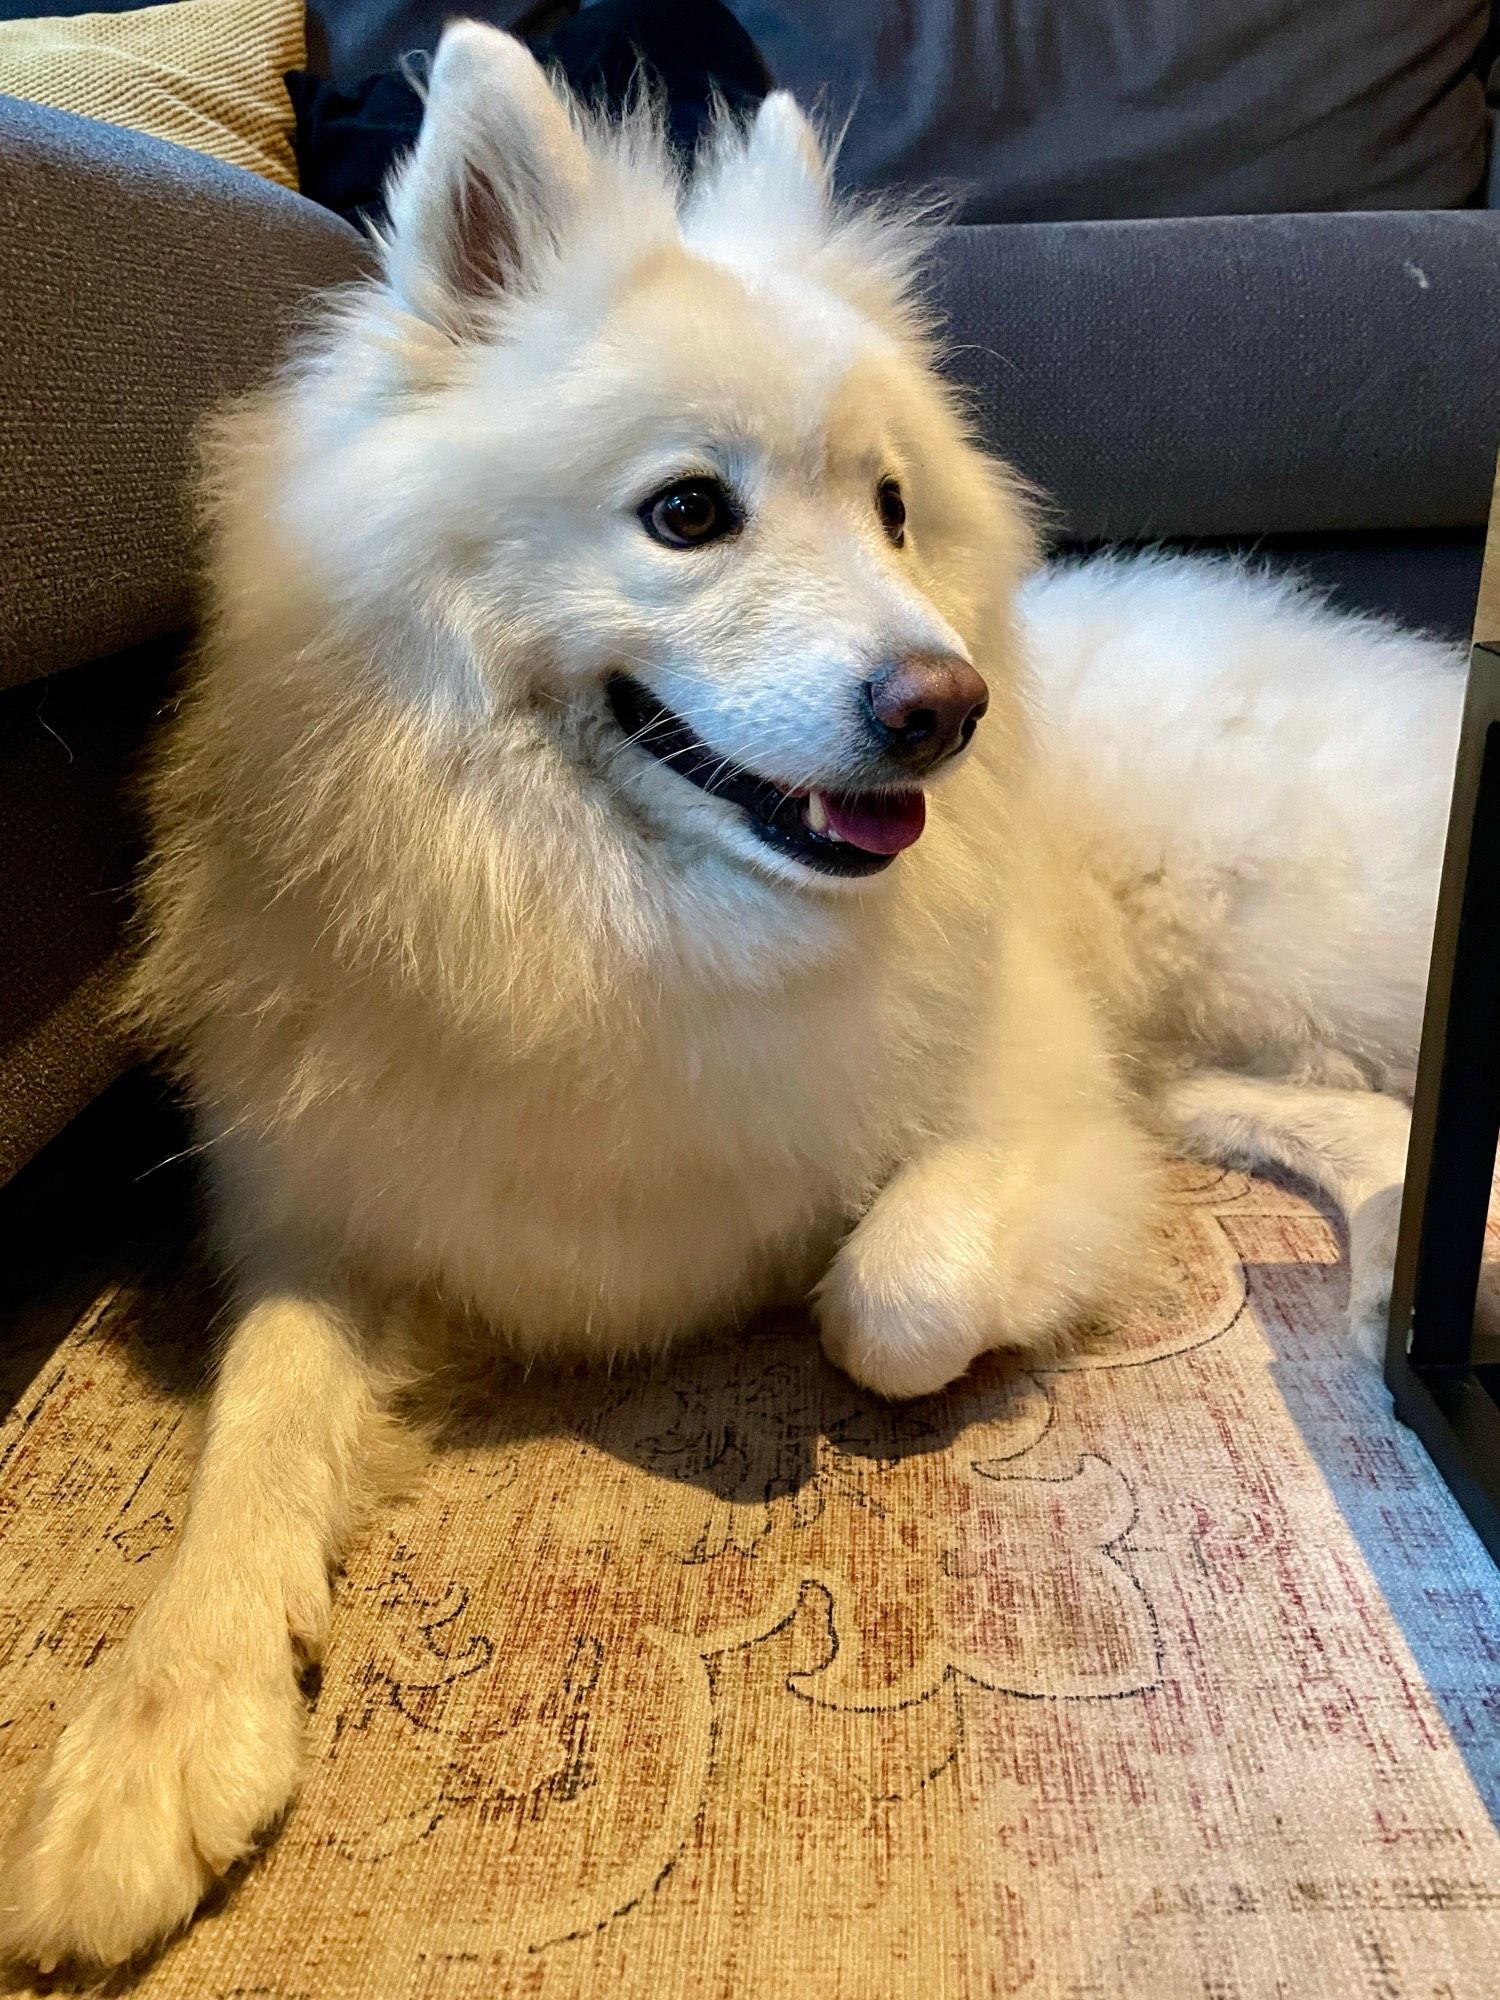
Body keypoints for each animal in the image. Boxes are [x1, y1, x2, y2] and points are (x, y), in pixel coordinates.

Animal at [0, 23, 1464, 1976]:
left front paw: (837, 1291)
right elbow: (254, 1437)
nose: (948, 707)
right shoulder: (332, 1221)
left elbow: (894, 1295)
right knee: (1355, 1120)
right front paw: (152, 1744)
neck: (622, 916)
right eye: (687, 513)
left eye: (895, 510)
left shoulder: (1043, 1117)